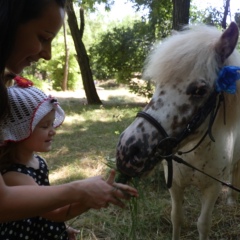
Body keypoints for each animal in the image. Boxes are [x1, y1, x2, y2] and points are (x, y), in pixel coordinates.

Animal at [115, 21, 240, 239]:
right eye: (158, 84)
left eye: (200, 90)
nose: (127, 151)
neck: (195, 153)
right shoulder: (175, 184)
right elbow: (177, 217)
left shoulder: (213, 188)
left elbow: (203, 224)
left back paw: (232, 199)